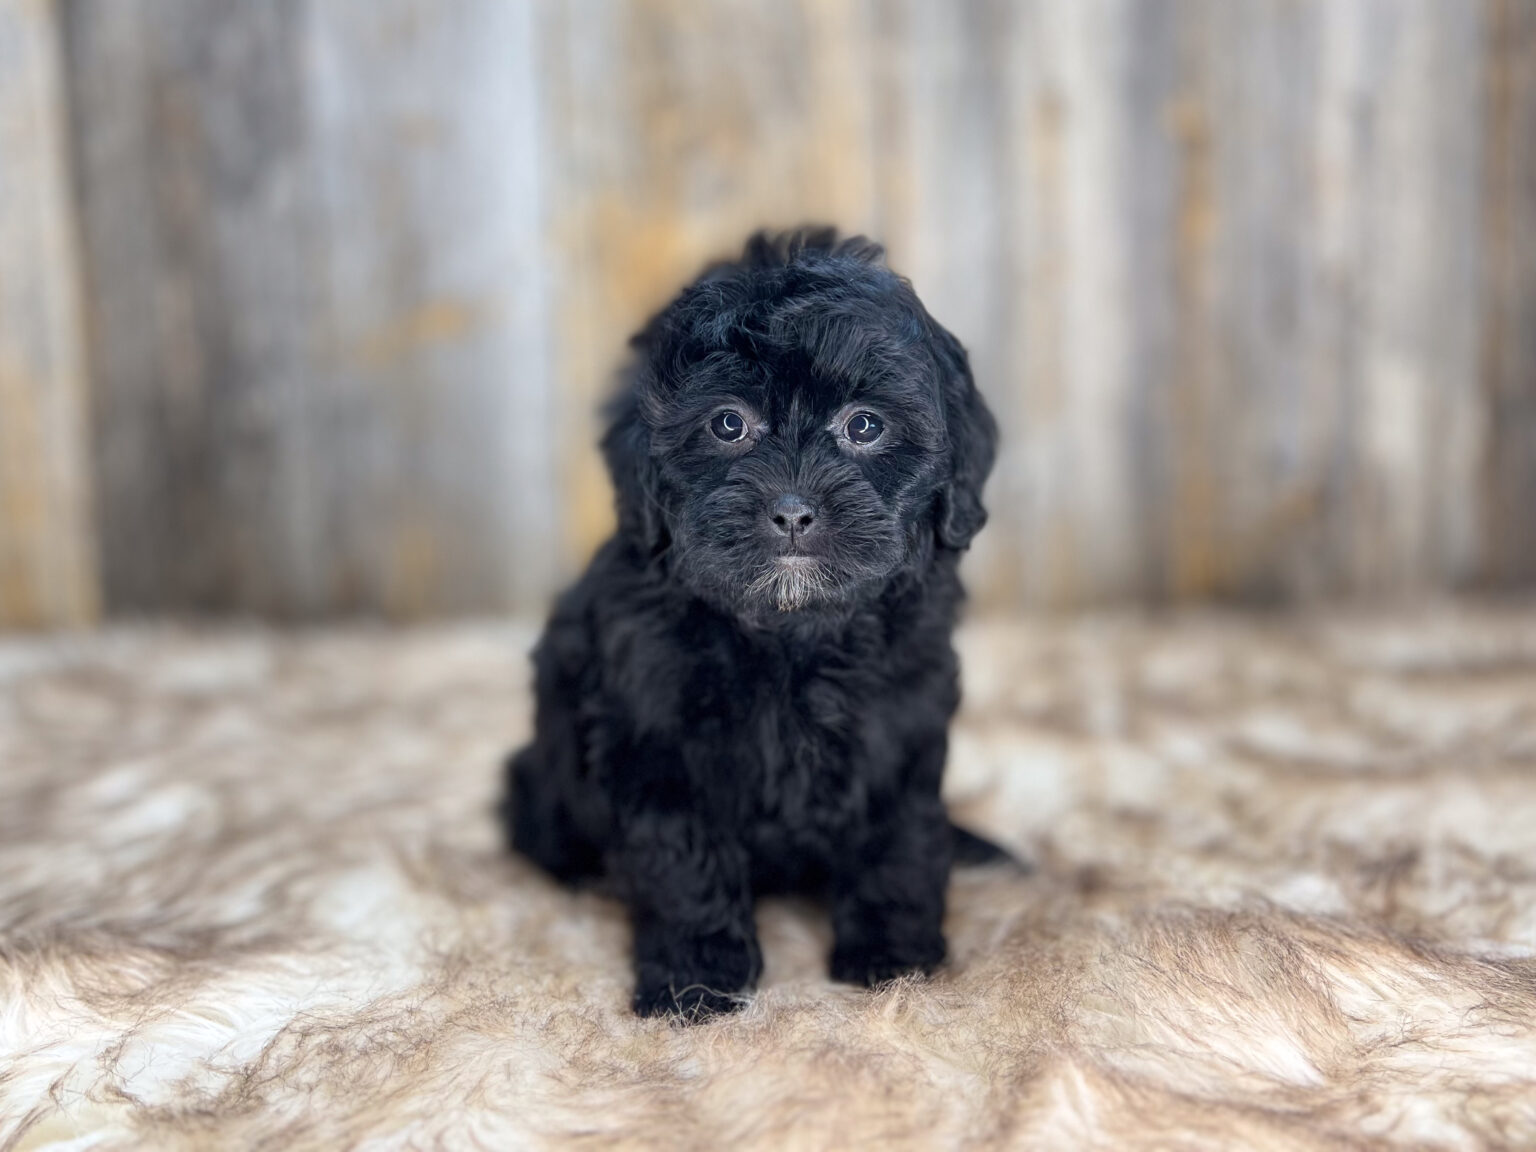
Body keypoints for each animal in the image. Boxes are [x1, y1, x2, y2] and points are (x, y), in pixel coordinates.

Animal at [503, 228, 1002, 1019]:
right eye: (728, 423)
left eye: (865, 425)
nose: (793, 511)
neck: (788, 635)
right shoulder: (654, 736)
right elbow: (684, 861)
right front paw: (694, 984)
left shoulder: (898, 724)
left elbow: (896, 840)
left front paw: (895, 963)